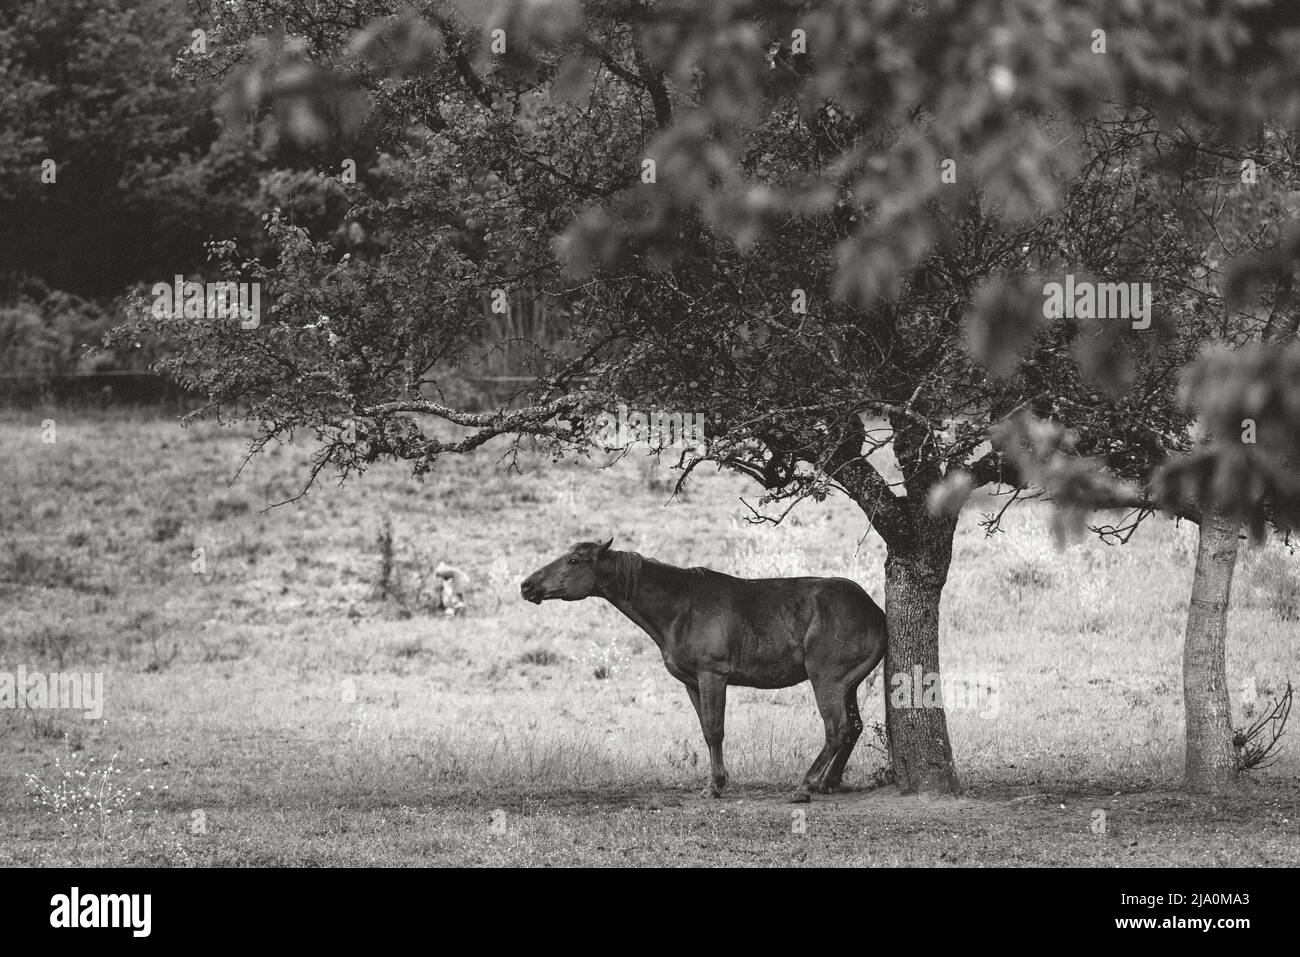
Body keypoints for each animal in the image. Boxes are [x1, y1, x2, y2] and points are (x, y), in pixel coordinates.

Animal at [520, 538, 887, 802]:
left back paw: (806, 786)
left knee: (836, 729)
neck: (681, 605)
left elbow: (714, 730)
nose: (527, 585)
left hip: (827, 681)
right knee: (853, 728)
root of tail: (875, 612)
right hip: (848, 686)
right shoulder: (692, 683)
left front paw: (715, 786)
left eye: (573, 561)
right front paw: (716, 782)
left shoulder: (713, 677)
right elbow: (706, 731)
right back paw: (830, 781)